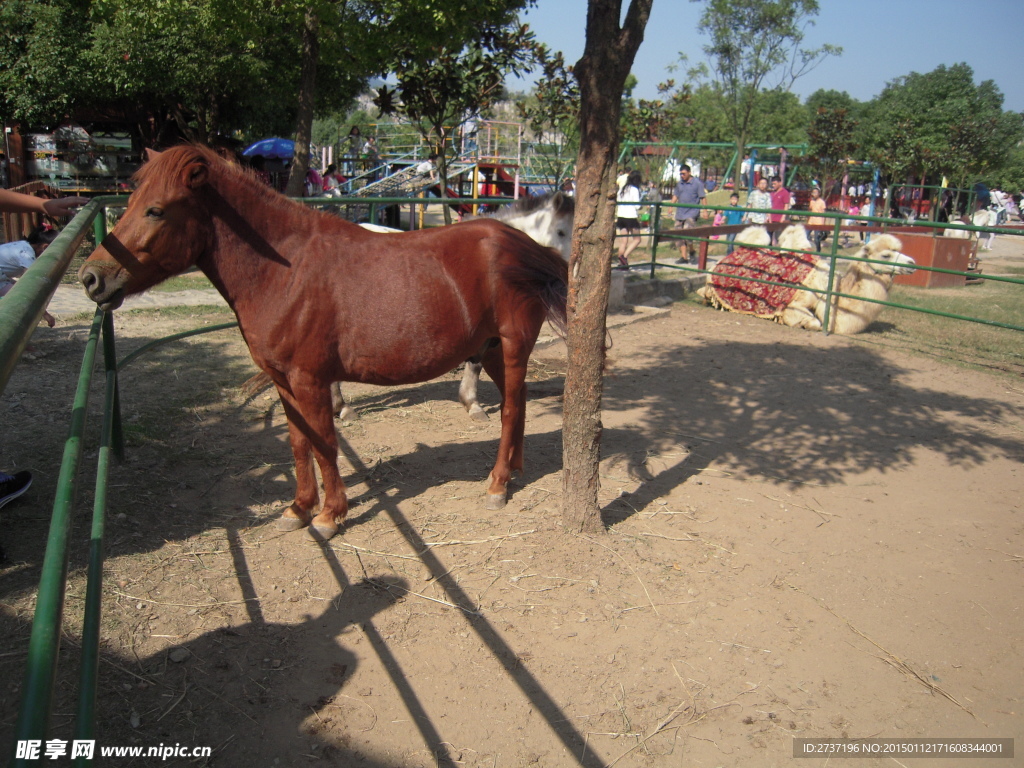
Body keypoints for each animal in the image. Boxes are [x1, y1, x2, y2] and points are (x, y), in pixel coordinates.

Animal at [79, 145, 569, 540]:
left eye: (156, 210)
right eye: (131, 202)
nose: (91, 277)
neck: (286, 270)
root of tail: (523, 243)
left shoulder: (310, 380)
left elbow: (325, 445)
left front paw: (330, 516)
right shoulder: (284, 382)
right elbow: (299, 444)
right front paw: (298, 508)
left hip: (512, 346)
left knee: (511, 409)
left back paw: (497, 484)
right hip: (492, 349)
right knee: (516, 403)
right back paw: (513, 470)